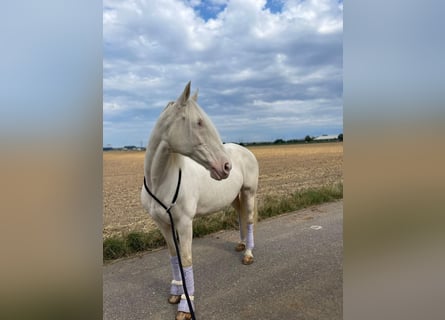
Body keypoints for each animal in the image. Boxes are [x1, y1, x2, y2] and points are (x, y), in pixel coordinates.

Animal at [140, 81, 258, 318]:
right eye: (199, 122)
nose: (226, 166)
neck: (160, 181)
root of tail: (246, 151)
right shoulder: (163, 224)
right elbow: (173, 256)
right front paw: (176, 292)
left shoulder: (185, 223)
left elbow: (186, 259)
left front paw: (186, 305)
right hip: (234, 197)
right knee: (240, 216)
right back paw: (241, 245)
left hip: (249, 192)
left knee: (248, 220)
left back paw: (248, 254)